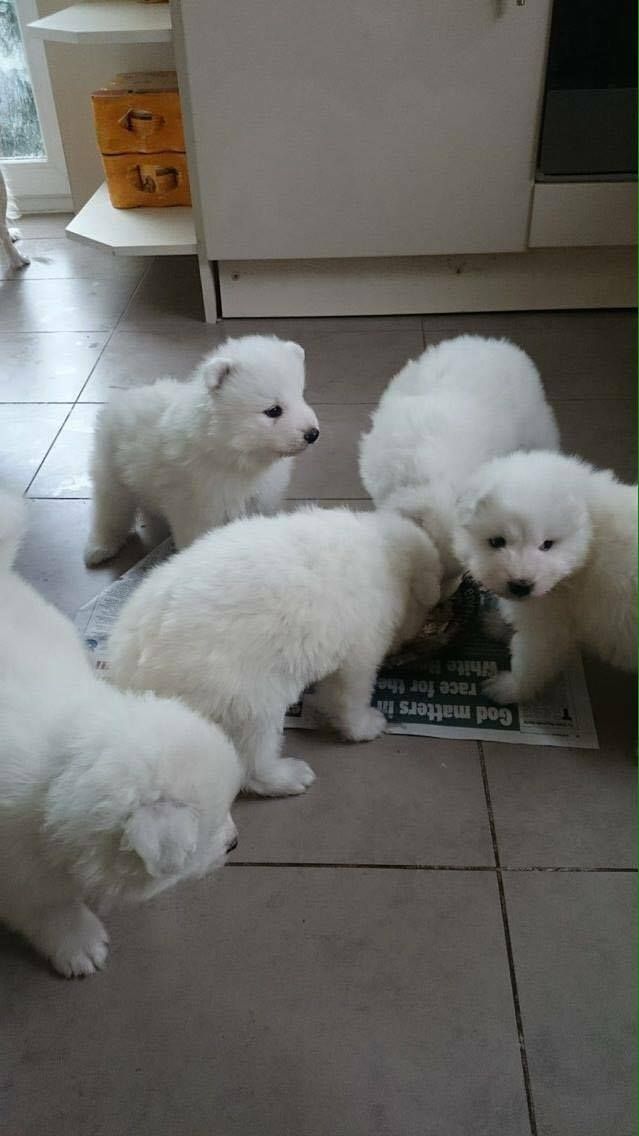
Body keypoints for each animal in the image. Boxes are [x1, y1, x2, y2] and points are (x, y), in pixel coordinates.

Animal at [0, 488, 238, 976]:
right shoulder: (18, 870)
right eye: (205, 837)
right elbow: (47, 906)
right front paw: (78, 943)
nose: (235, 844)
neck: (64, 771)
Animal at [84, 333, 320, 565]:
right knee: (110, 511)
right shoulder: (198, 507)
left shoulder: (262, 499)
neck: (234, 456)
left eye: (301, 397)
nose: (313, 434)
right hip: (111, 474)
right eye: (273, 411)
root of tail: (123, 397)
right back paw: (100, 548)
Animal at [105, 506, 443, 799]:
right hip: (250, 701)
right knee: (251, 764)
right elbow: (351, 697)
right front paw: (366, 727)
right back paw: (289, 777)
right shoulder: (360, 654)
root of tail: (133, 673)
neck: (386, 553)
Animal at [454, 449, 632, 699]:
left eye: (547, 545)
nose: (521, 585)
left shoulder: (549, 625)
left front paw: (509, 689)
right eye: (497, 542)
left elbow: (530, 663)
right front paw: (499, 624)